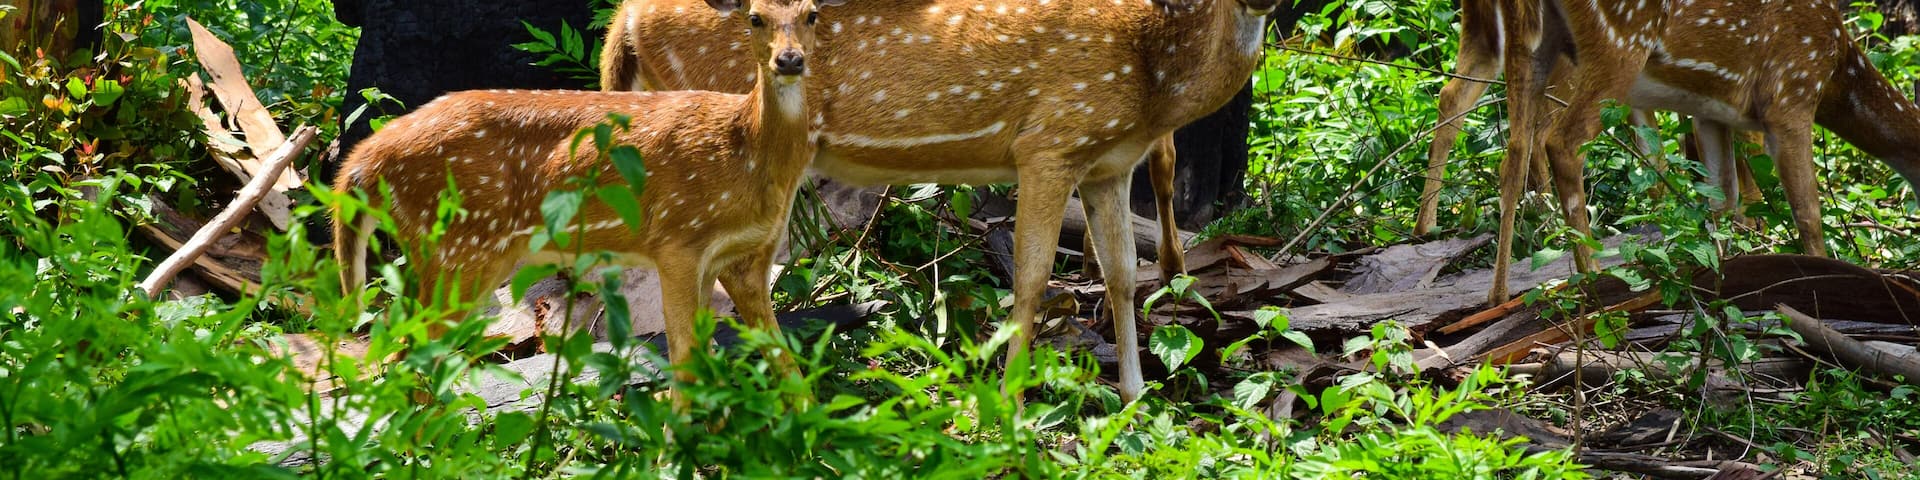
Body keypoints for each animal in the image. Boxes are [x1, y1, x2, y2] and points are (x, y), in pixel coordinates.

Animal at [331, 0, 841, 403]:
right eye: (755, 17)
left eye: (811, 14)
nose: (790, 60)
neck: (744, 150)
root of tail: (362, 162)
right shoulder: (677, 240)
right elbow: (683, 357)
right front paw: (673, 453)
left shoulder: (740, 257)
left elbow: (769, 357)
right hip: (458, 248)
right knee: (407, 355)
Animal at [601, 0, 1279, 403]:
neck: (1150, 75)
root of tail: (625, 19)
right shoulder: (1050, 141)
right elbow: (1032, 277)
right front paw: (1010, 402)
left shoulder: (1107, 165)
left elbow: (1121, 274)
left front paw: (1136, 398)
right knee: (734, 274)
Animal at [1486, 0, 1920, 304]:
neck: (1838, 74)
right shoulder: (1790, 96)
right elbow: (1808, 213)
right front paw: (1828, 277)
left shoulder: (1712, 113)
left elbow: (1721, 203)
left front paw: (1723, 277)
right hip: (1617, 46)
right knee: (1563, 142)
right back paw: (1592, 280)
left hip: (1532, 44)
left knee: (1514, 153)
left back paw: (1498, 298)